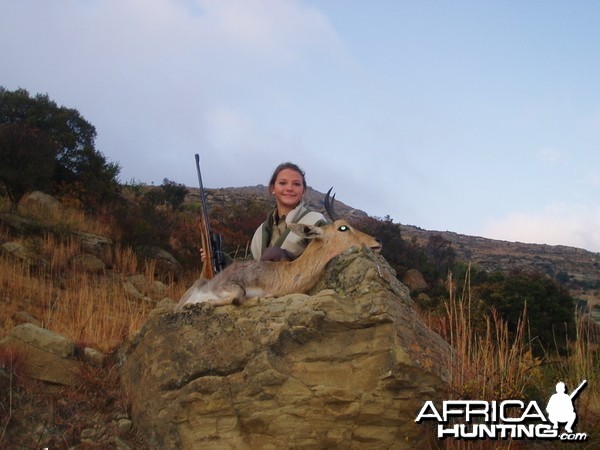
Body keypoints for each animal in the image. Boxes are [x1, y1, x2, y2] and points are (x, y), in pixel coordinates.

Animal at [173, 188, 380, 312]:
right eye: (343, 227)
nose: (376, 241)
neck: (277, 275)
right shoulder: (227, 284)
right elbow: (238, 295)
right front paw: (201, 304)